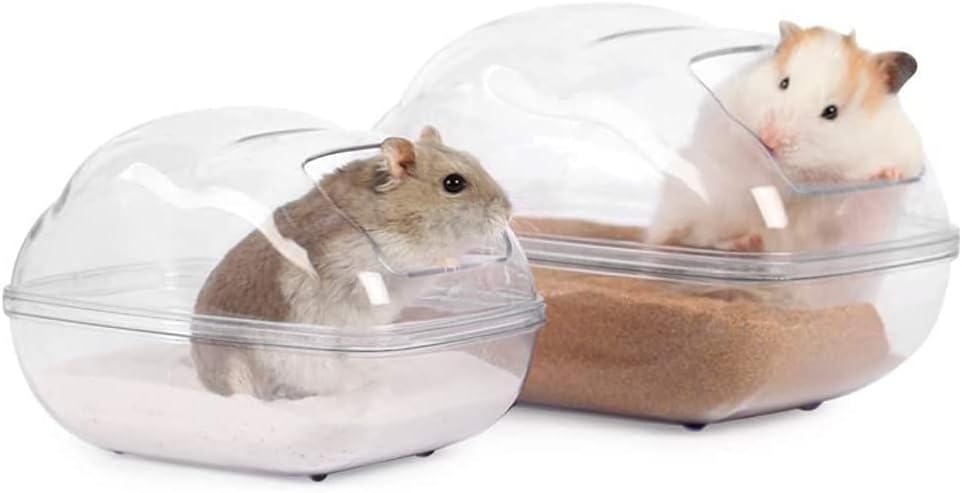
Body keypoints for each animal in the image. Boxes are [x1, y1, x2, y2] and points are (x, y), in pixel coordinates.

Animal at [191, 126, 512, 400]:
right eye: (454, 183)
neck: (394, 207)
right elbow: (428, 255)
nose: (508, 212)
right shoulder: (391, 251)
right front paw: (452, 262)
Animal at [648, 22, 924, 252]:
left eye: (831, 112)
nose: (768, 141)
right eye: (783, 83)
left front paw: (889, 174)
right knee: (691, 237)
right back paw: (742, 242)